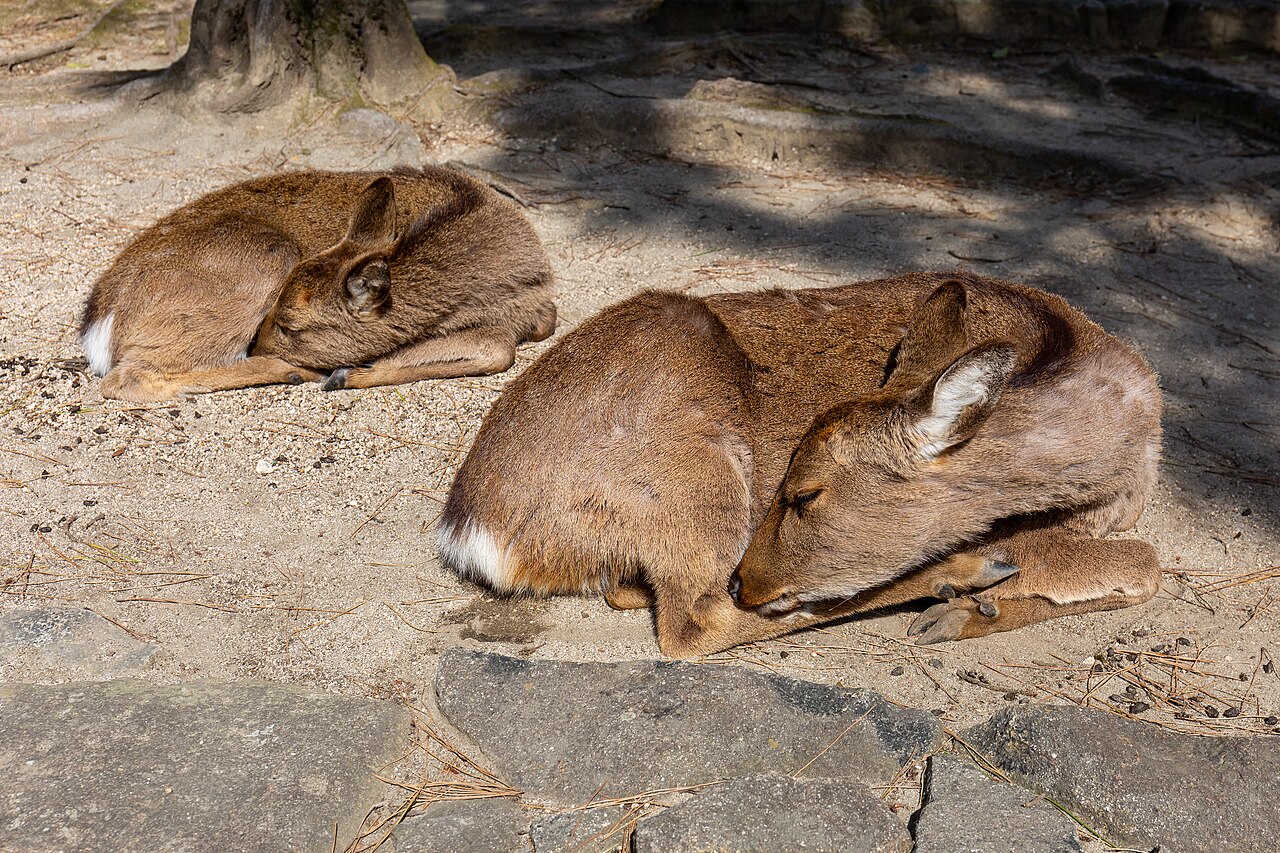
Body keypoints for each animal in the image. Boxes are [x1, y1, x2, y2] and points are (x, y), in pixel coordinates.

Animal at [80, 166, 556, 402]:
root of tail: (100, 322)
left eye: (292, 325)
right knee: (128, 378)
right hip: (264, 259)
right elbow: (499, 348)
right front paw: (347, 374)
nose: (258, 344)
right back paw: (296, 372)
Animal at [439, 272, 1162, 658]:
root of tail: (472, 530)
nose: (747, 579)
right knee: (692, 623)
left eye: (807, 494)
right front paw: (967, 597)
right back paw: (959, 576)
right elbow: (1147, 563)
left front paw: (974, 612)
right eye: (789, 483)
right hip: (697, 477)